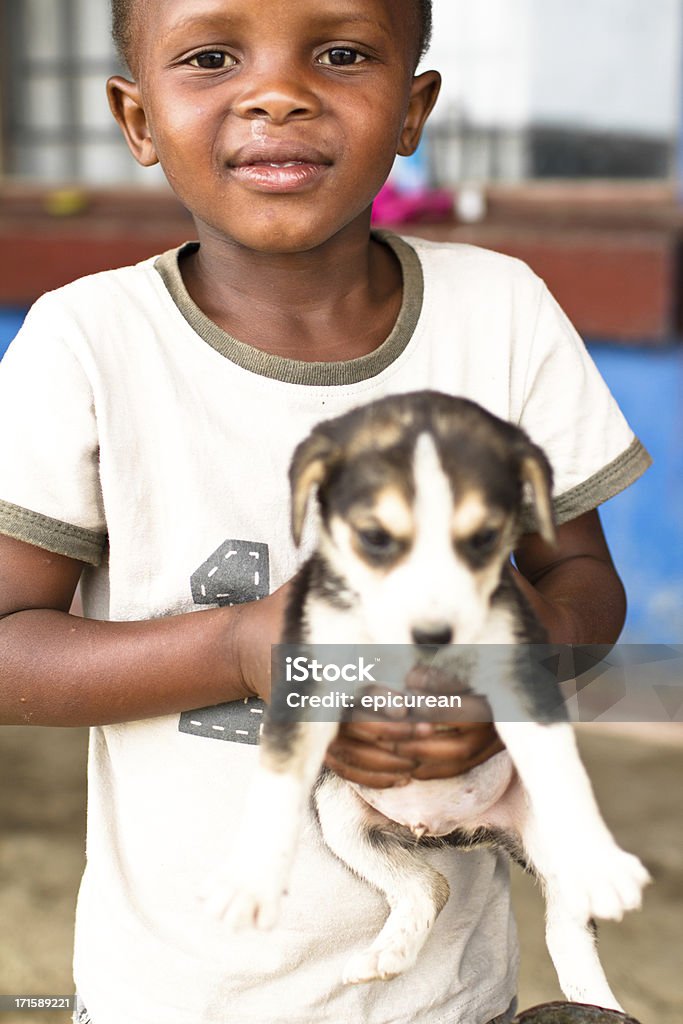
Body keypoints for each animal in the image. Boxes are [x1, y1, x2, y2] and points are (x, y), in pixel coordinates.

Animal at [209, 389, 651, 1007]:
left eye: (485, 539)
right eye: (375, 538)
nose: (433, 636)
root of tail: (462, 831)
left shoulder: (519, 674)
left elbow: (559, 764)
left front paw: (601, 859)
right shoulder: (306, 676)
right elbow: (276, 778)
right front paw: (252, 879)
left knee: (568, 925)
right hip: (341, 815)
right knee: (429, 886)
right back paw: (389, 952)